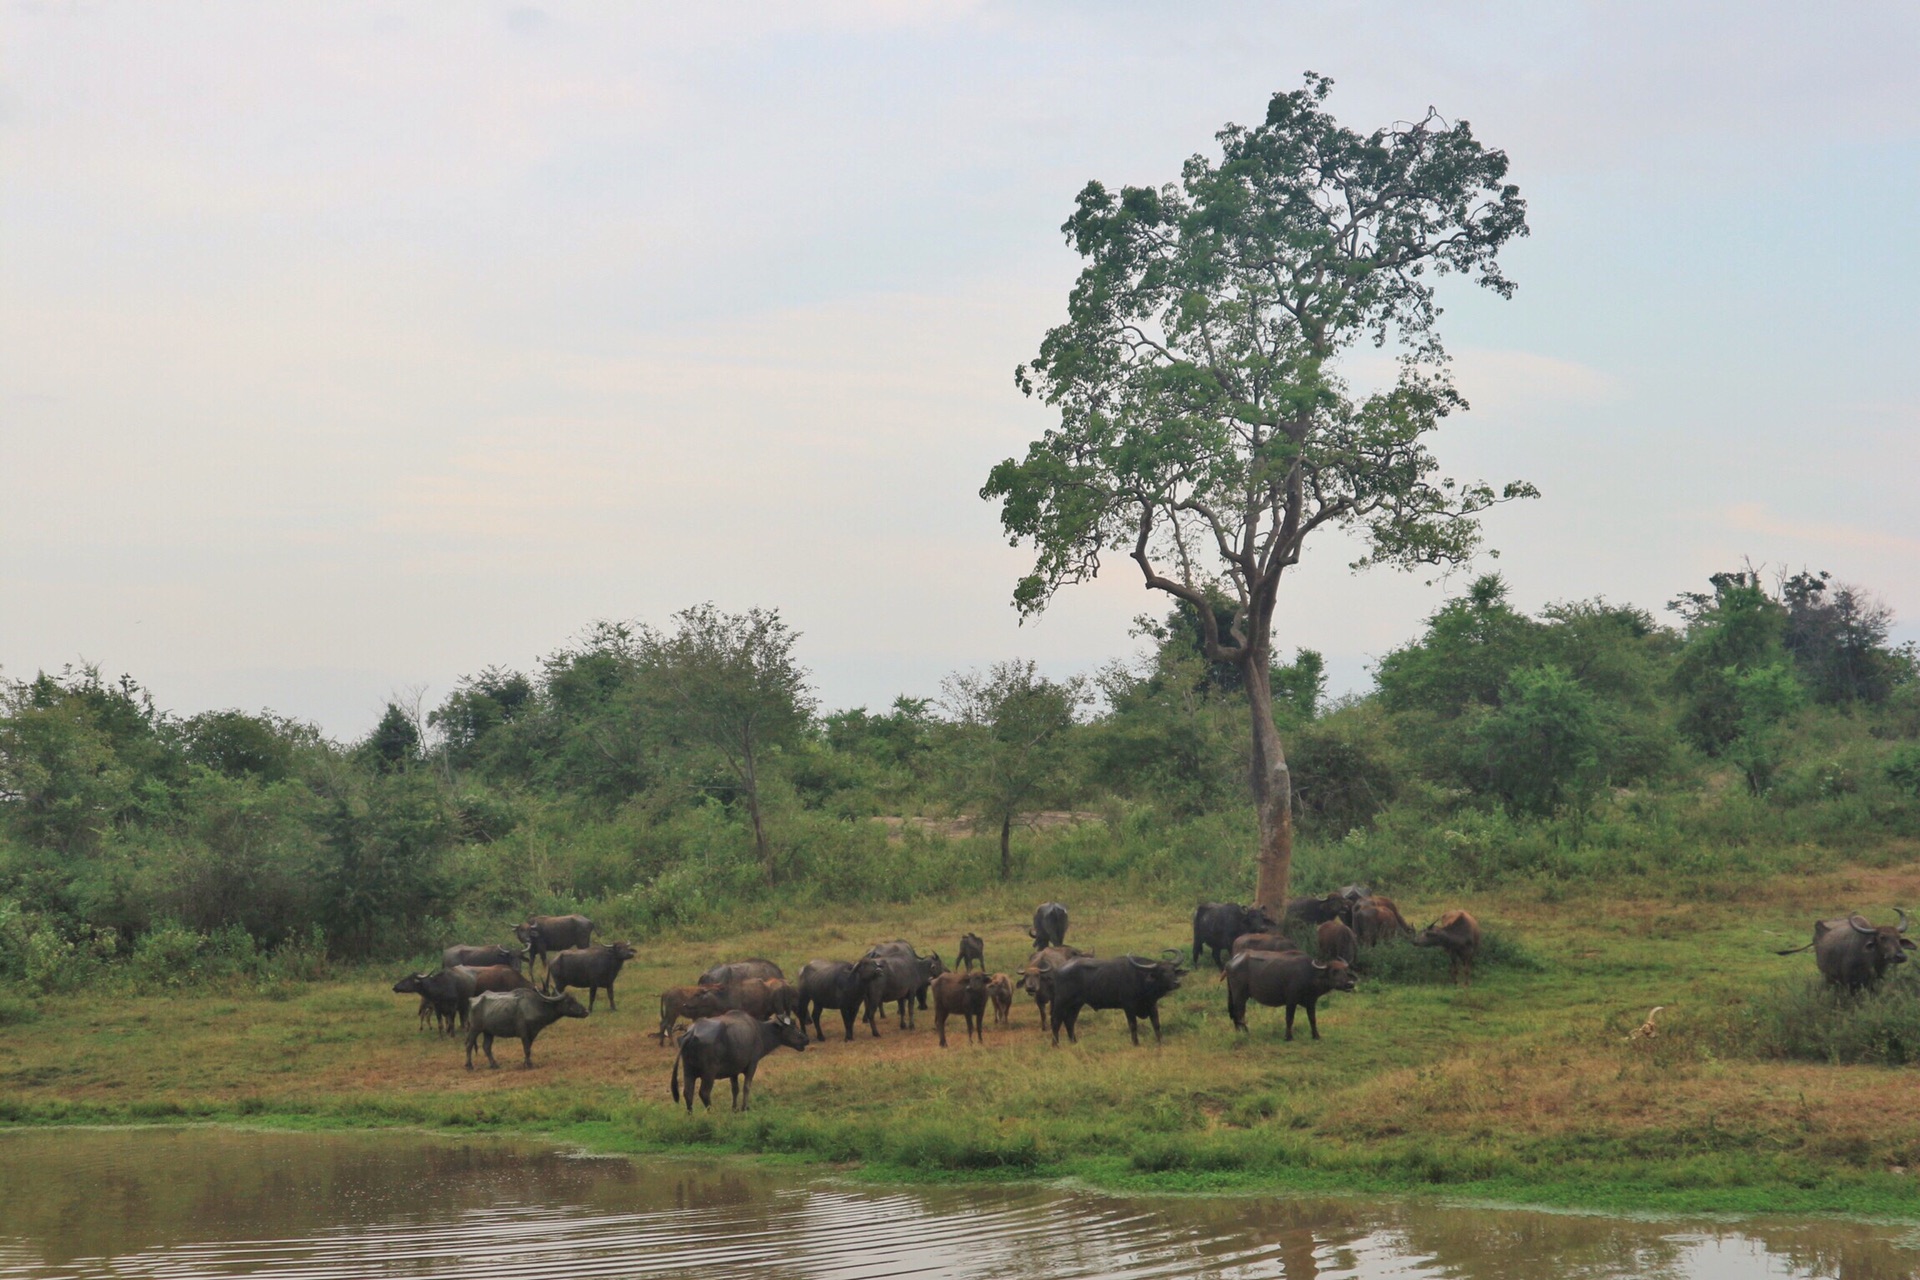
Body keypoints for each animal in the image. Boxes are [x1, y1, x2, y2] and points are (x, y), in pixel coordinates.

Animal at [672, 1013, 806, 1113]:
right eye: (793, 1027)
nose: (806, 1039)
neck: (760, 1031)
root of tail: (691, 1033)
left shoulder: (733, 1071)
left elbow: (735, 1089)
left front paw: (734, 1108)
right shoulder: (752, 1064)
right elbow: (746, 1086)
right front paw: (744, 1107)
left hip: (688, 1070)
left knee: (688, 1093)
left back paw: (691, 1117)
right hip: (709, 1073)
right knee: (704, 1092)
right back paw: (712, 1113)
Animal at [1052, 955, 1182, 1043]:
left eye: (1173, 970)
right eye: (1161, 971)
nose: (1177, 983)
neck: (1141, 978)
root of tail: (1058, 970)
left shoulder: (1152, 1005)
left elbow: (1156, 1024)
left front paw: (1160, 1041)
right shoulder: (1129, 1007)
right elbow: (1133, 1025)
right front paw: (1136, 1043)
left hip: (1076, 1005)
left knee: (1069, 1021)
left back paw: (1074, 1042)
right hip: (1060, 1003)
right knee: (1056, 1021)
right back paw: (1056, 1045)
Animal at [1221, 951, 1359, 1043]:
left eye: (1345, 970)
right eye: (1334, 971)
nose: (1350, 984)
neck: (1310, 975)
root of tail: (1231, 961)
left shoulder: (1311, 1002)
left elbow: (1312, 1019)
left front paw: (1316, 1035)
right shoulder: (1291, 1001)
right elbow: (1289, 1019)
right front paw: (1288, 1037)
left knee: (1236, 1013)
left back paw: (1239, 1031)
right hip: (1239, 994)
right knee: (1239, 1012)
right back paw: (1245, 1032)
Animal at [1774, 905, 1912, 997]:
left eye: (1898, 937)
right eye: (1882, 937)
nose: (1900, 956)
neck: (1869, 960)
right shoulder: (1849, 983)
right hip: (1827, 975)